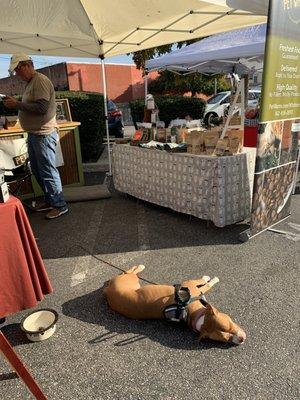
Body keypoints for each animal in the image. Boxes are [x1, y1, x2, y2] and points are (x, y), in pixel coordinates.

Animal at [103, 266, 246, 344]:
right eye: (226, 334)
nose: (241, 339)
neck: (191, 312)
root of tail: (108, 291)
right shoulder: (190, 284)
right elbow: (206, 285)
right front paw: (209, 279)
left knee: (124, 272)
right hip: (130, 279)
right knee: (128, 272)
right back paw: (140, 267)